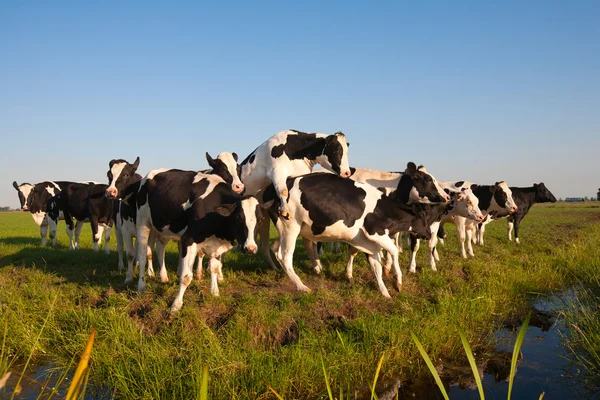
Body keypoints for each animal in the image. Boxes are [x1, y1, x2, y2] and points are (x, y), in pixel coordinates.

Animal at [260, 162, 448, 296]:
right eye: (427, 179)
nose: (446, 196)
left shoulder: (368, 241)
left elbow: (377, 263)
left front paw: (384, 288)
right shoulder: (375, 233)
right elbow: (393, 251)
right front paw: (397, 281)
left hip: (289, 229)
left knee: (276, 248)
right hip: (290, 227)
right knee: (285, 256)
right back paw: (302, 286)